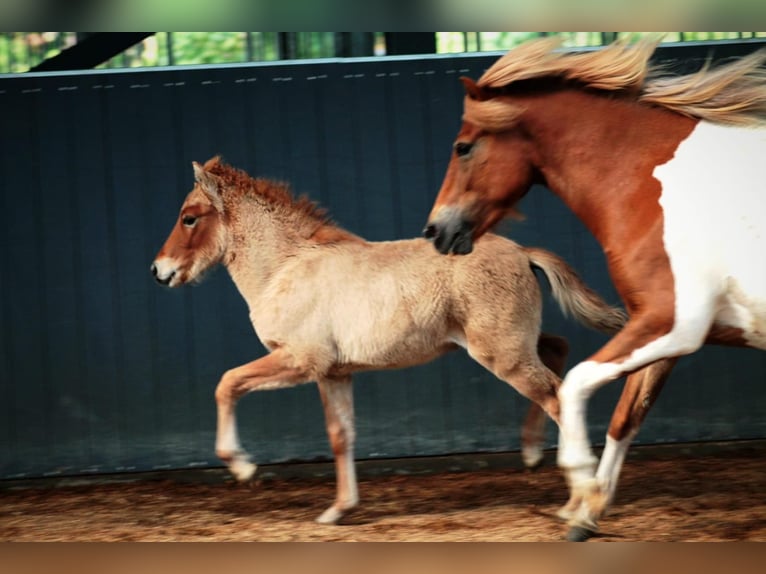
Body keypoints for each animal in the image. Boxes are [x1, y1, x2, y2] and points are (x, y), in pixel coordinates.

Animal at [151, 156, 639, 525]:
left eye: (188, 217)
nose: (159, 270)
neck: (286, 267)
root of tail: (523, 253)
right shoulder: (334, 373)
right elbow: (341, 435)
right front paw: (339, 510)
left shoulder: (301, 360)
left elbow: (228, 383)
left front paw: (242, 466)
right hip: (510, 343)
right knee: (557, 350)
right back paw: (534, 455)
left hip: (502, 353)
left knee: (557, 395)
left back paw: (574, 500)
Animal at [423, 37, 766, 540]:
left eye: (463, 147)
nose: (435, 232)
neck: (658, 188)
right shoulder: (664, 331)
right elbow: (626, 417)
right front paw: (587, 513)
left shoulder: (671, 323)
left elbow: (575, 384)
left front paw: (580, 485)